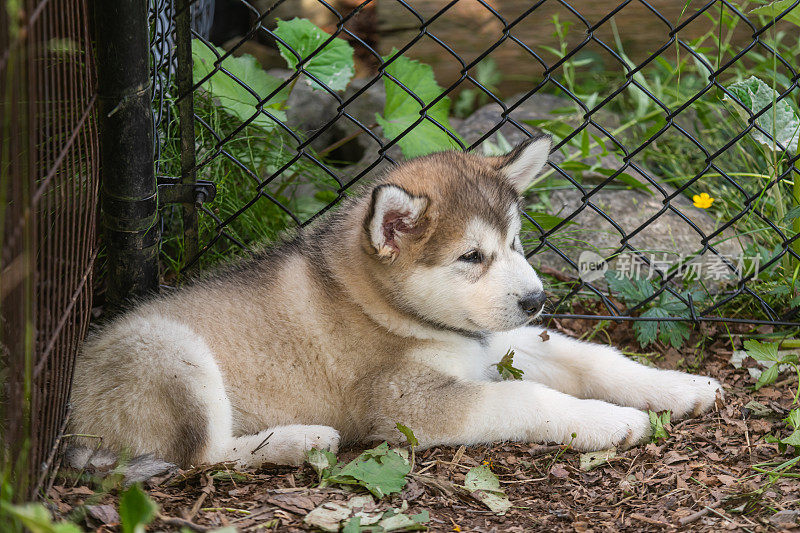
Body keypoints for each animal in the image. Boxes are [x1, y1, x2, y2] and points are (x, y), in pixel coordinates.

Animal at [67, 137, 720, 466]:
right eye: (470, 257)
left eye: (514, 243)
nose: (537, 299)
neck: (383, 304)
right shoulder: (406, 405)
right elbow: (527, 397)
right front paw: (612, 421)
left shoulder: (495, 344)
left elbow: (591, 357)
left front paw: (678, 386)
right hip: (169, 352)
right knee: (201, 454)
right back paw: (302, 440)